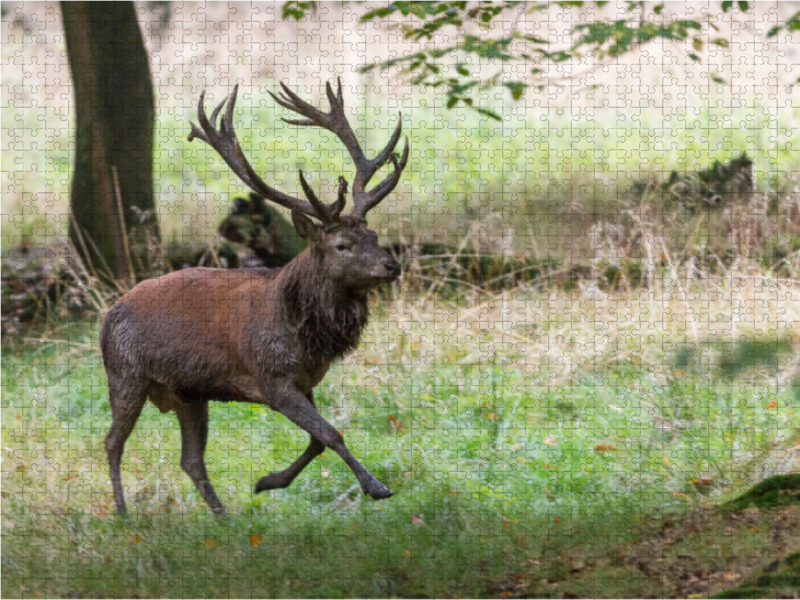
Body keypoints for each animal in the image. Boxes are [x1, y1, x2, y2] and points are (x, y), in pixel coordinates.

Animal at [101, 79, 410, 516]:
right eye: (342, 245)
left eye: (373, 235)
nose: (391, 266)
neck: (304, 336)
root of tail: (108, 315)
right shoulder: (271, 377)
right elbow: (332, 434)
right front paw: (376, 487)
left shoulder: (303, 381)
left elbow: (317, 440)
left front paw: (266, 481)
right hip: (126, 372)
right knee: (113, 441)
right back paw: (124, 513)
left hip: (189, 394)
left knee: (190, 459)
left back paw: (223, 517)